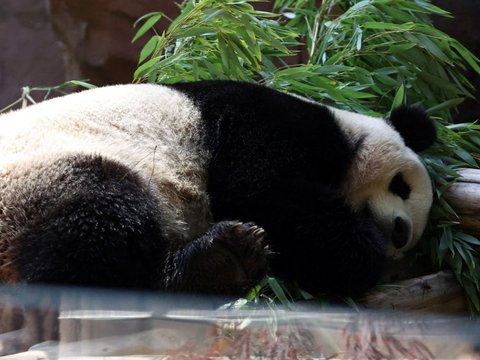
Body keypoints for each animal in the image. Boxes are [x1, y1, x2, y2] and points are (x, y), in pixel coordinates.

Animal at [0, 81, 436, 298]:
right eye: (401, 185)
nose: (401, 232)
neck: (347, 133)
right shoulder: (262, 123)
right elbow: (262, 190)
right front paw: (362, 255)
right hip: (39, 179)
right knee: (101, 217)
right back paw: (213, 265)